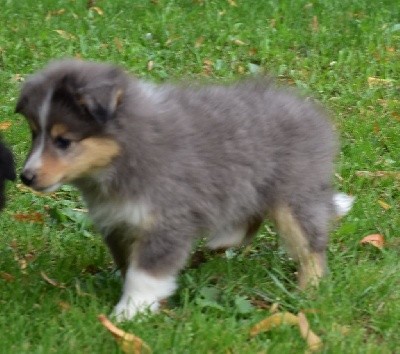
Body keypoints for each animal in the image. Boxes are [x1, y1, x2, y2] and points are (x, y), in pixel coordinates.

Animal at [16, 60, 354, 320]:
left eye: (63, 141)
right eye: (34, 134)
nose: (26, 177)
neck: (126, 150)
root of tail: (309, 111)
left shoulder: (168, 220)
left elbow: (145, 273)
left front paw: (130, 312)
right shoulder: (117, 222)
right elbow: (128, 264)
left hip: (293, 194)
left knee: (311, 245)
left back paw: (308, 291)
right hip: (246, 184)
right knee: (250, 217)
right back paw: (223, 240)